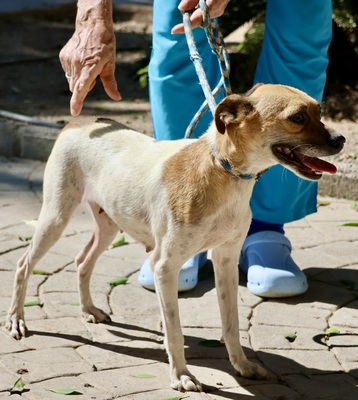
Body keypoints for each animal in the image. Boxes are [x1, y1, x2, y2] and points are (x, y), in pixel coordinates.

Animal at [5, 83, 346, 392]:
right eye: (298, 117)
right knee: (23, 265)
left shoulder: (226, 260)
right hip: (56, 217)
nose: (341, 139)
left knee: (82, 260)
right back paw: (16, 320)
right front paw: (181, 375)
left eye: (319, 112)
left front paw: (243, 365)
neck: (223, 174)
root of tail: (81, 121)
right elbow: (175, 331)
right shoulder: (164, 268)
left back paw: (89, 310)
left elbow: (231, 325)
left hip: (110, 223)